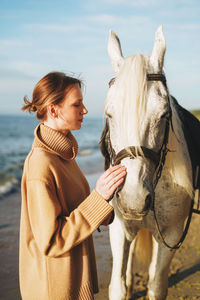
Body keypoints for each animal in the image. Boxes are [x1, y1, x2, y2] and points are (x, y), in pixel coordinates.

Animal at [101, 26, 194, 300]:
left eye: (163, 115)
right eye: (109, 114)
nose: (133, 198)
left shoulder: (172, 234)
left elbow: (157, 284)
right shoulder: (119, 229)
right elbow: (118, 286)